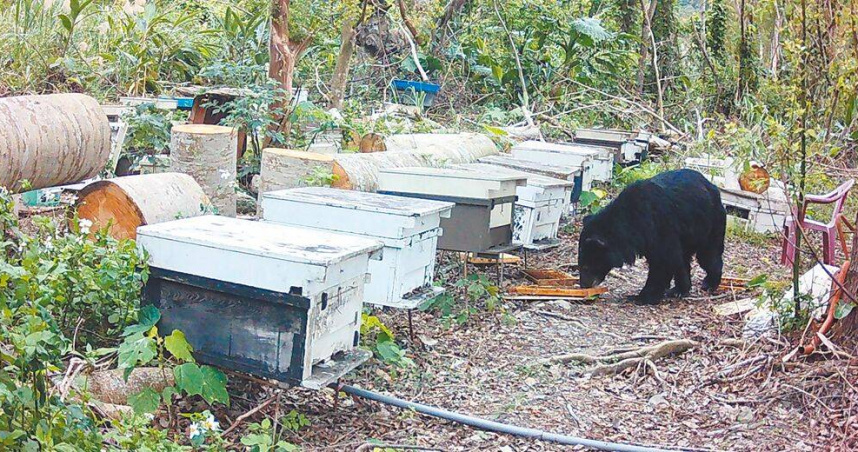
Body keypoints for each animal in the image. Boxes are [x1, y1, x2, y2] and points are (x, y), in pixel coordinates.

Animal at [577, 169, 726, 305]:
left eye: (586, 267)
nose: (584, 285)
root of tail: (713, 187)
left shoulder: (660, 226)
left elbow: (663, 261)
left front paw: (641, 297)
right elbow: (673, 260)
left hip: (710, 224)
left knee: (708, 255)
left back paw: (709, 283)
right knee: (684, 259)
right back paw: (679, 289)